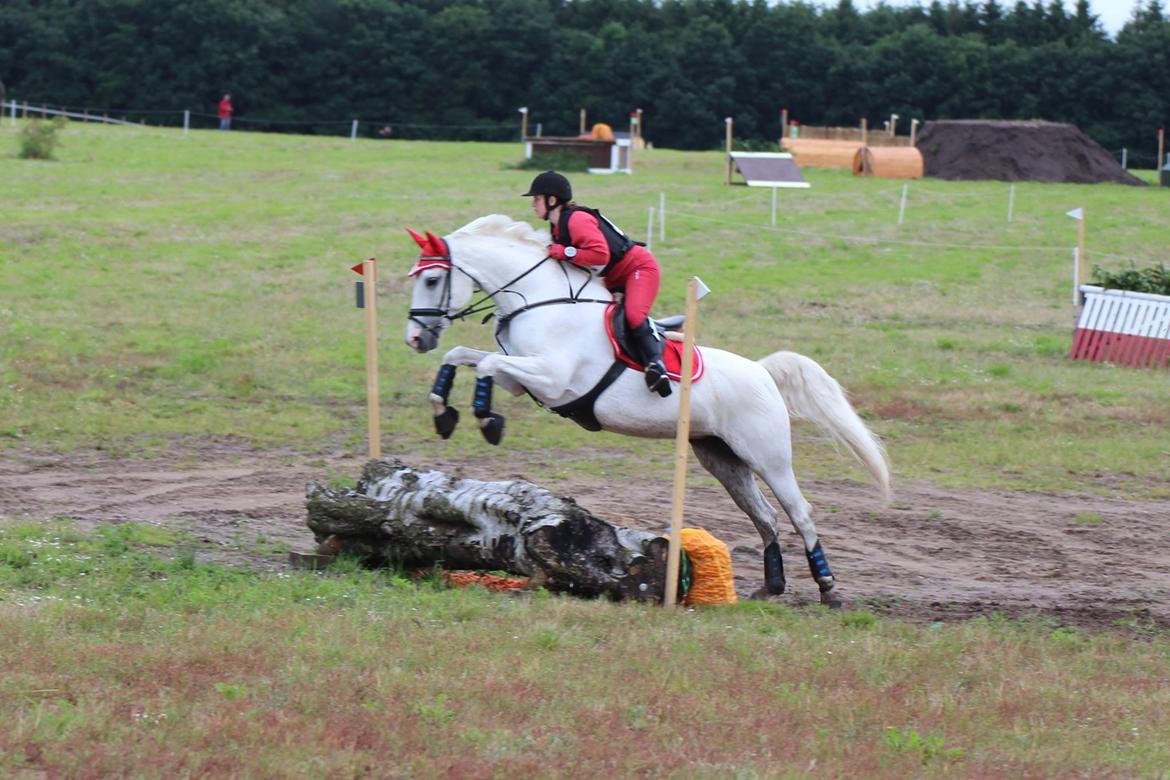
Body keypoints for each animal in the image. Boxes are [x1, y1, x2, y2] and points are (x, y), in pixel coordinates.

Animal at [402, 214, 884, 603]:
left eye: (431, 280)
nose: (415, 339)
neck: (540, 302)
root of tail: (762, 372)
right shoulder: (522, 380)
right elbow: (464, 356)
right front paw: (446, 414)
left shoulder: (552, 379)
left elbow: (483, 362)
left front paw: (486, 419)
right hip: (721, 457)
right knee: (765, 517)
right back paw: (771, 587)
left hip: (768, 455)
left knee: (798, 512)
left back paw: (828, 588)